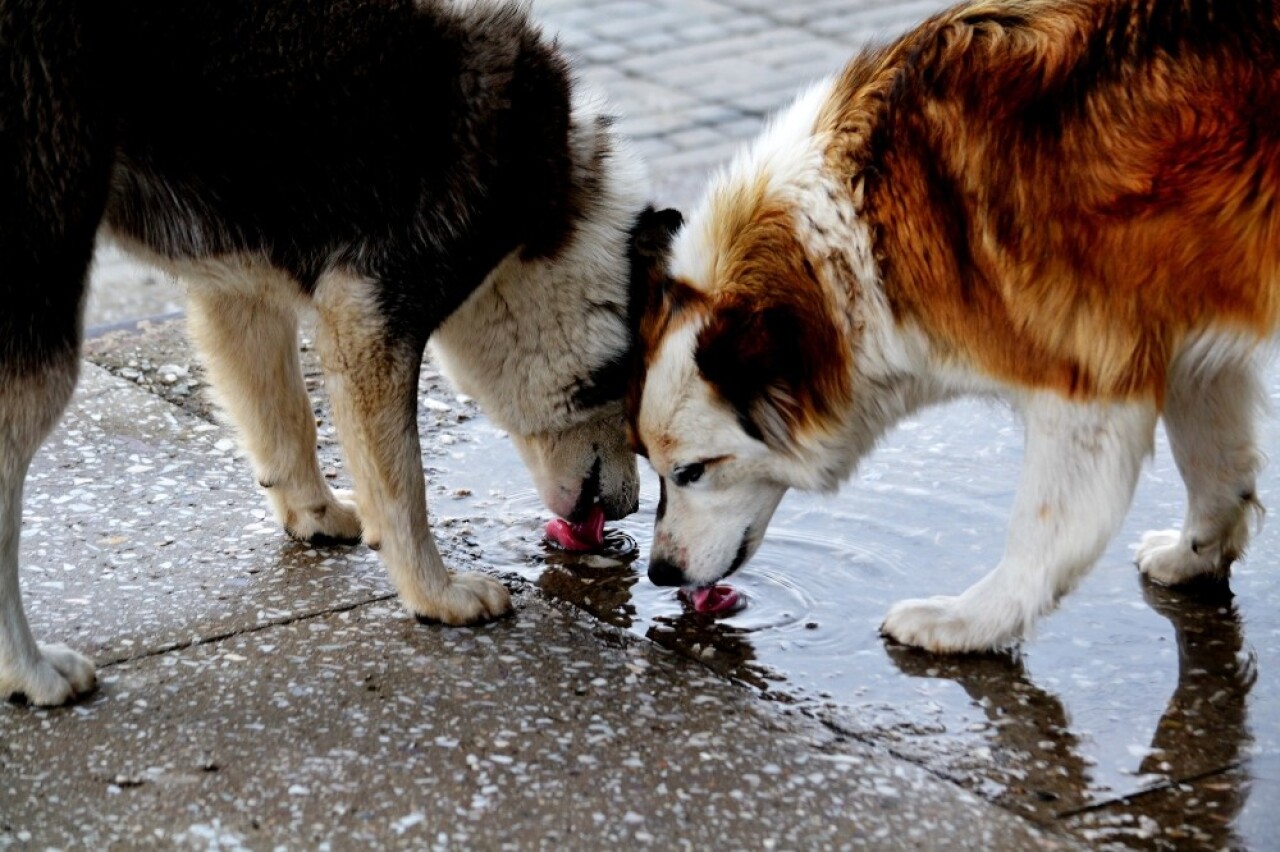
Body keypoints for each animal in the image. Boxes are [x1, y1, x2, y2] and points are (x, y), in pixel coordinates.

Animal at [2, 0, 680, 701]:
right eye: (632, 405)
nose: (630, 513)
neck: (549, 216)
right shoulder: (371, 309)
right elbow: (403, 487)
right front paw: (435, 593)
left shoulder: (238, 289)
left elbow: (285, 418)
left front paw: (313, 510)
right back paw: (31, 670)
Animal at [632, 0, 1280, 649]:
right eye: (653, 467)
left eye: (691, 472)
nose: (660, 574)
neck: (865, 220)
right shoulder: (1187, 334)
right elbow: (1215, 464)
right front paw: (1195, 555)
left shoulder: (1088, 377)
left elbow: (1046, 530)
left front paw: (971, 621)